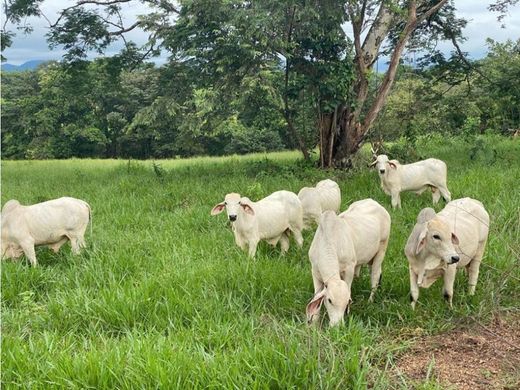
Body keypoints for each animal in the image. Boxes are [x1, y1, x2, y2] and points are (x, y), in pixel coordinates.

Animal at [304, 198, 390, 326]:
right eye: (329, 300)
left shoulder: (349, 269)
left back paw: (370, 301)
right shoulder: (315, 272)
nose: (337, 326)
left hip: (381, 249)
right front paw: (314, 324)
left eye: (346, 302)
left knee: (375, 276)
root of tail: (375, 203)